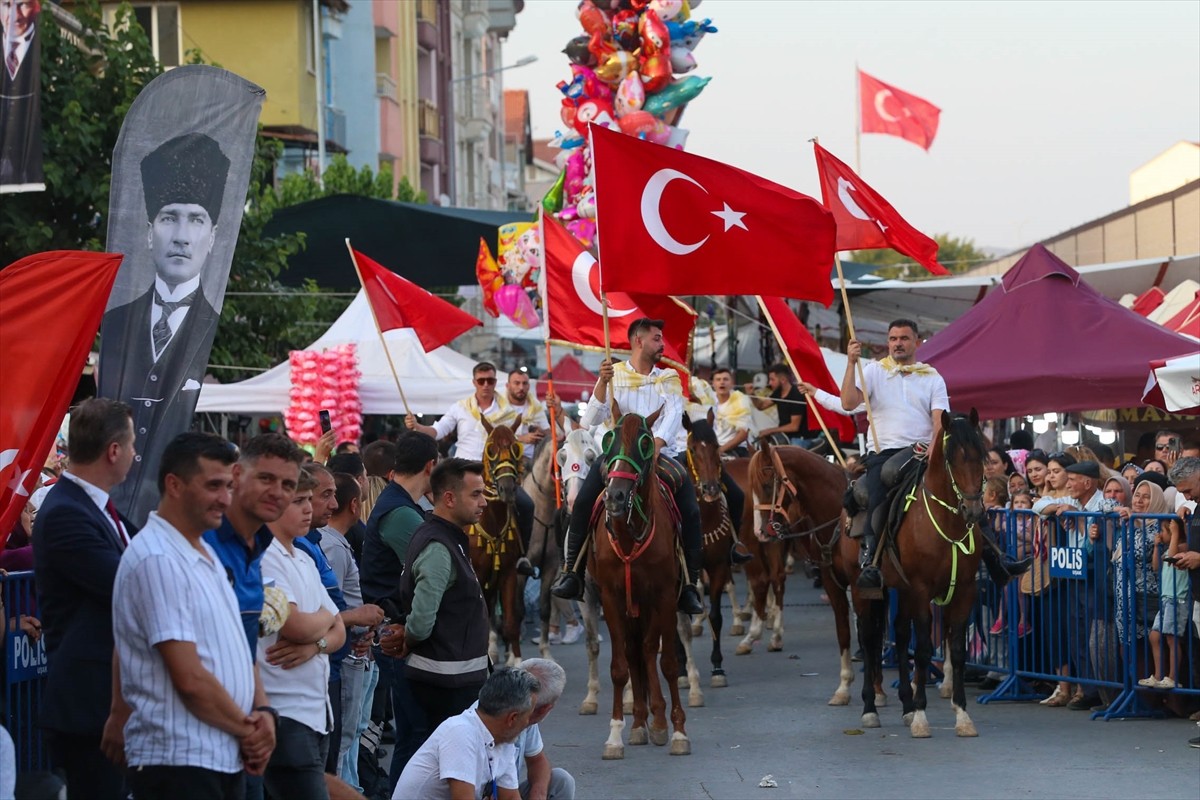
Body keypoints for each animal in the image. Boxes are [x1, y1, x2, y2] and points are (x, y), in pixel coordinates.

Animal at [592, 410, 696, 762]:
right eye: (608, 439)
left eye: (646, 443)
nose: (616, 496)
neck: (629, 533)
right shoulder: (611, 598)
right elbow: (620, 667)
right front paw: (614, 737)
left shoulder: (664, 597)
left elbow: (667, 661)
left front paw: (676, 730)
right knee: (634, 651)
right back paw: (638, 722)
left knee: (648, 651)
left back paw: (657, 720)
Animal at [744, 443, 888, 705]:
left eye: (768, 484)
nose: (760, 533)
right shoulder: (832, 582)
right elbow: (844, 631)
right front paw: (844, 687)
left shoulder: (859, 584)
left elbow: (867, 632)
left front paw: (874, 691)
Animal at [859, 412, 988, 738]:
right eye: (952, 459)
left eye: (981, 456)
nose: (973, 510)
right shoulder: (920, 589)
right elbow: (924, 649)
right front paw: (920, 716)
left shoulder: (964, 590)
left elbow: (957, 650)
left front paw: (962, 715)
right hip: (863, 589)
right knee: (869, 639)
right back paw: (869, 708)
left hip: (900, 591)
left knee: (900, 635)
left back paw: (905, 703)